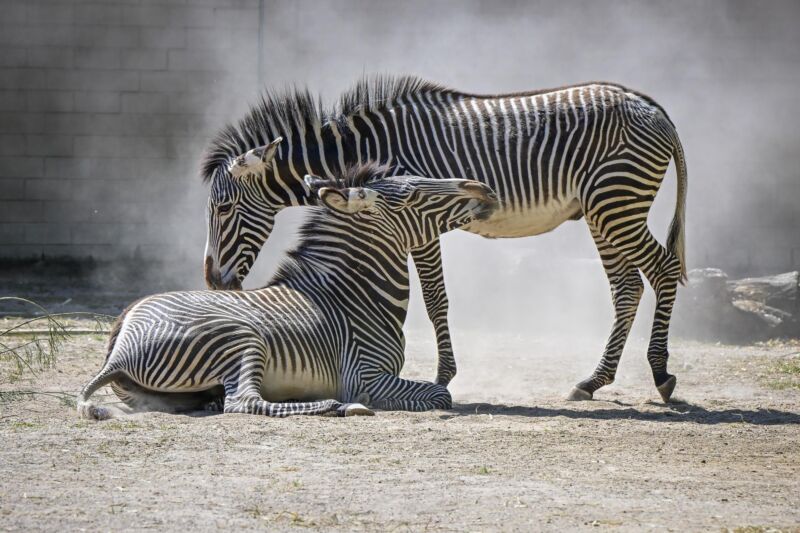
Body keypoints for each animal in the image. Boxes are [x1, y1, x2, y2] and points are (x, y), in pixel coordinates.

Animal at [77, 164, 499, 419]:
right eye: (412, 195)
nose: (483, 188)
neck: (354, 295)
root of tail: (120, 343)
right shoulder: (365, 376)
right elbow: (441, 394)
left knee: (229, 399)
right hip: (241, 339)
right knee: (243, 402)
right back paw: (337, 407)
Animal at [201, 75, 688, 403]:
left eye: (223, 209)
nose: (213, 283)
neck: (361, 148)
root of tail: (654, 109)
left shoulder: (415, 219)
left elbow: (435, 299)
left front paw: (442, 376)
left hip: (616, 201)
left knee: (663, 269)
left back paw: (661, 374)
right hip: (603, 211)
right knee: (627, 288)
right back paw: (592, 381)